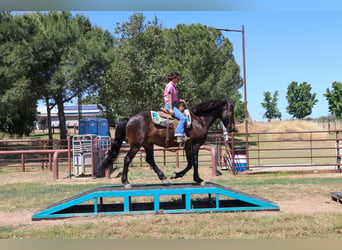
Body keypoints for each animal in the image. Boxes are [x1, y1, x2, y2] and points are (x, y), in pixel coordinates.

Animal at [96, 99, 235, 188]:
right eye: (231, 112)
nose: (232, 128)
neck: (198, 120)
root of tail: (129, 119)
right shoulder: (195, 145)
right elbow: (194, 162)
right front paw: (197, 179)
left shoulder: (188, 146)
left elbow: (190, 162)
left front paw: (176, 175)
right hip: (136, 145)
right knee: (127, 159)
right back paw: (126, 182)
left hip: (148, 144)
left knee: (150, 159)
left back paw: (164, 178)